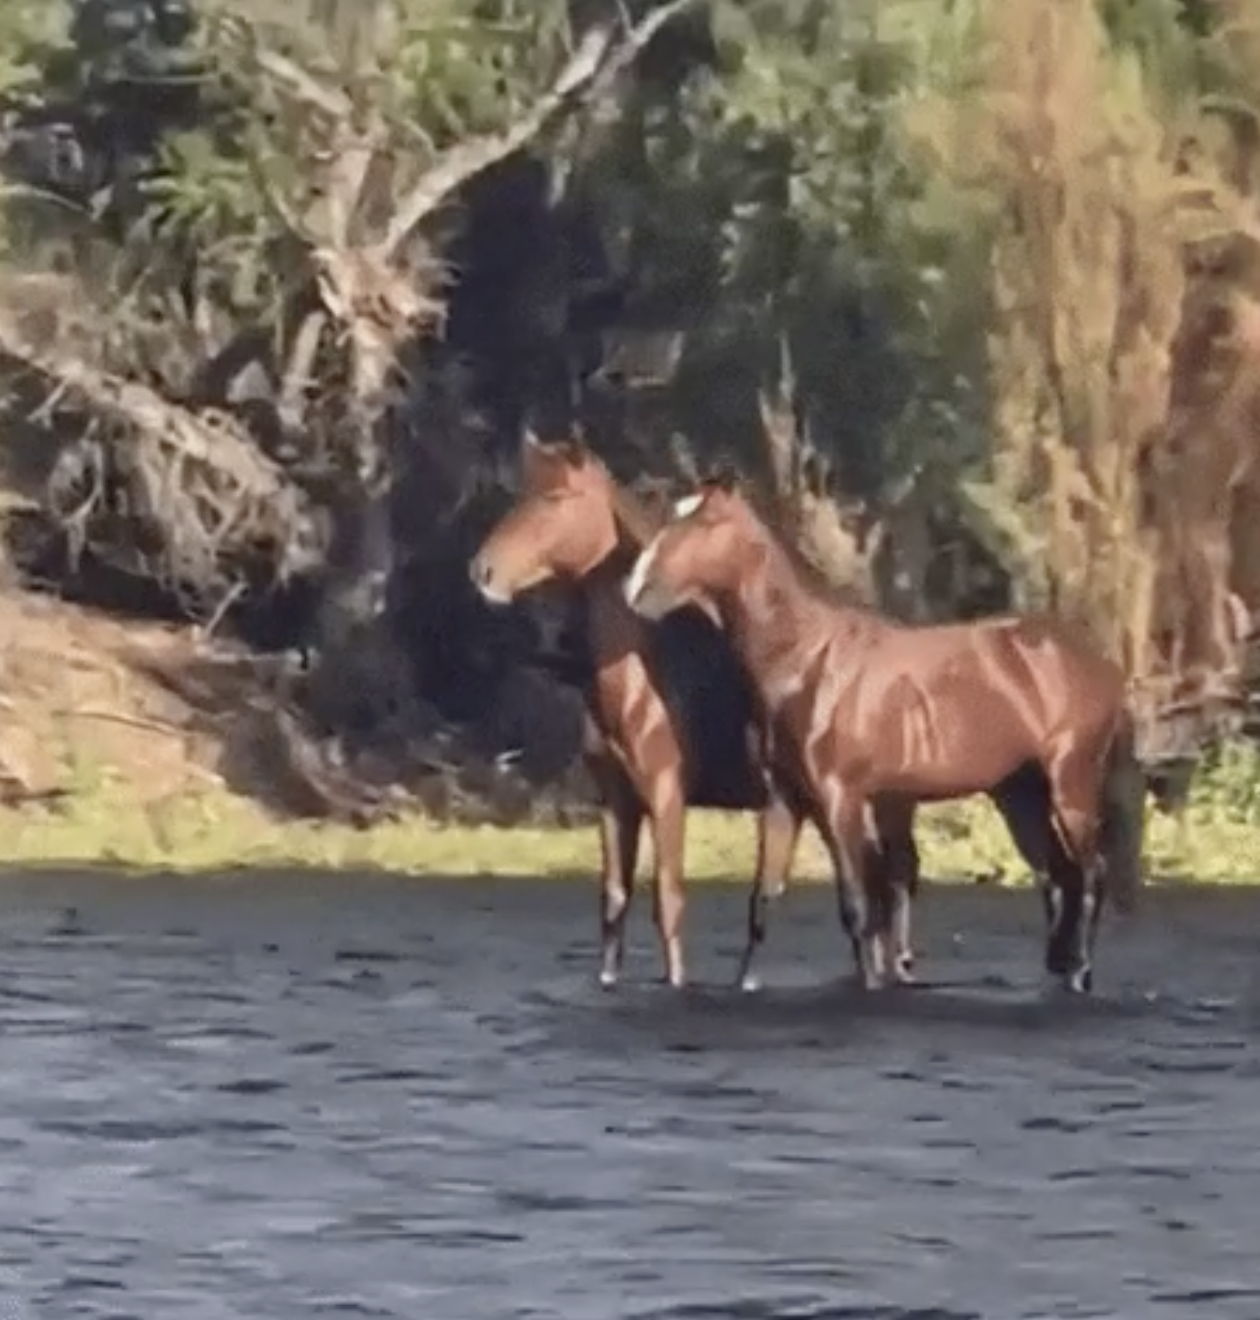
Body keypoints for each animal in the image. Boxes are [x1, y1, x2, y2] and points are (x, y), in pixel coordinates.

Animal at [468, 433, 915, 990]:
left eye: (554, 498)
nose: (482, 571)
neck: (646, 665)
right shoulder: (616, 802)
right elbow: (614, 902)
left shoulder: (666, 794)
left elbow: (669, 901)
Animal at [623, 476, 1146, 993]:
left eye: (704, 522)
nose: (635, 588)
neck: (806, 660)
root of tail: (1103, 665)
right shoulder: (781, 800)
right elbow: (764, 898)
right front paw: (745, 983)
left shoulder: (840, 798)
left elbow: (858, 903)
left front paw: (871, 983)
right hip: (1021, 795)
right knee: (1059, 875)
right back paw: (1059, 966)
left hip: (1070, 782)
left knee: (1090, 871)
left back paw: (1081, 971)